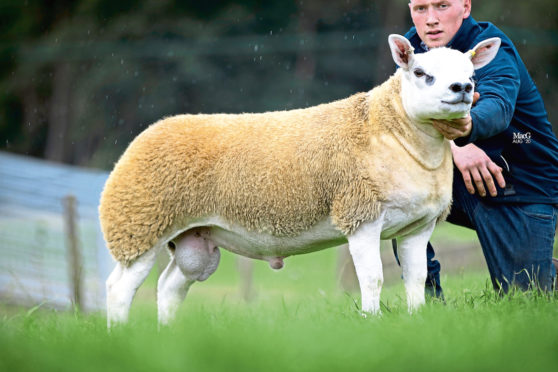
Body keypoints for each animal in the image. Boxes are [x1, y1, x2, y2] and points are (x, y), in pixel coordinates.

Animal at [101, 35, 504, 326]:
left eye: (471, 73)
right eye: (420, 72)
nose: (462, 88)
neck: (395, 132)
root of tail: (148, 133)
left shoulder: (418, 226)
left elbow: (417, 279)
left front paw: (417, 319)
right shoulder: (360, 215)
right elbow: (372, 278)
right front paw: (371, 322)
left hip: (193, 240)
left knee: (169, 287)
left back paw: (165, 335)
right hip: (139, 225)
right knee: (118, 289)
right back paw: (119, 336)